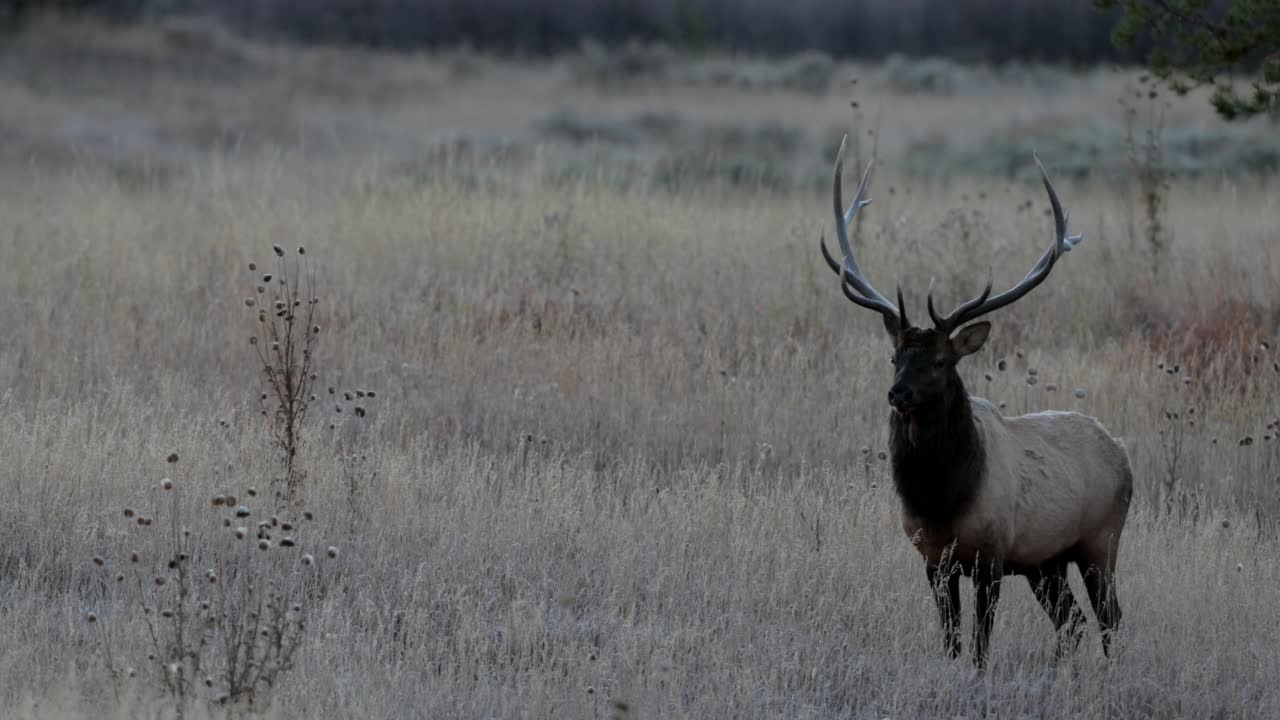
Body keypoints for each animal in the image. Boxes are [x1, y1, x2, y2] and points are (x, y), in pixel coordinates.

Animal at [819, 137, 1131, 666]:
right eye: (894, 356)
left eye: (942, 361)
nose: (898, 393)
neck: (940, 500)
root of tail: (1122, 452)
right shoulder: (934, 562)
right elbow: (951, 641)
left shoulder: (990, 557)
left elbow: (981, 647)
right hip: (1045, 561)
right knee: (1071, 622)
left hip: (1100, 540)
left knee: (1110, 618)